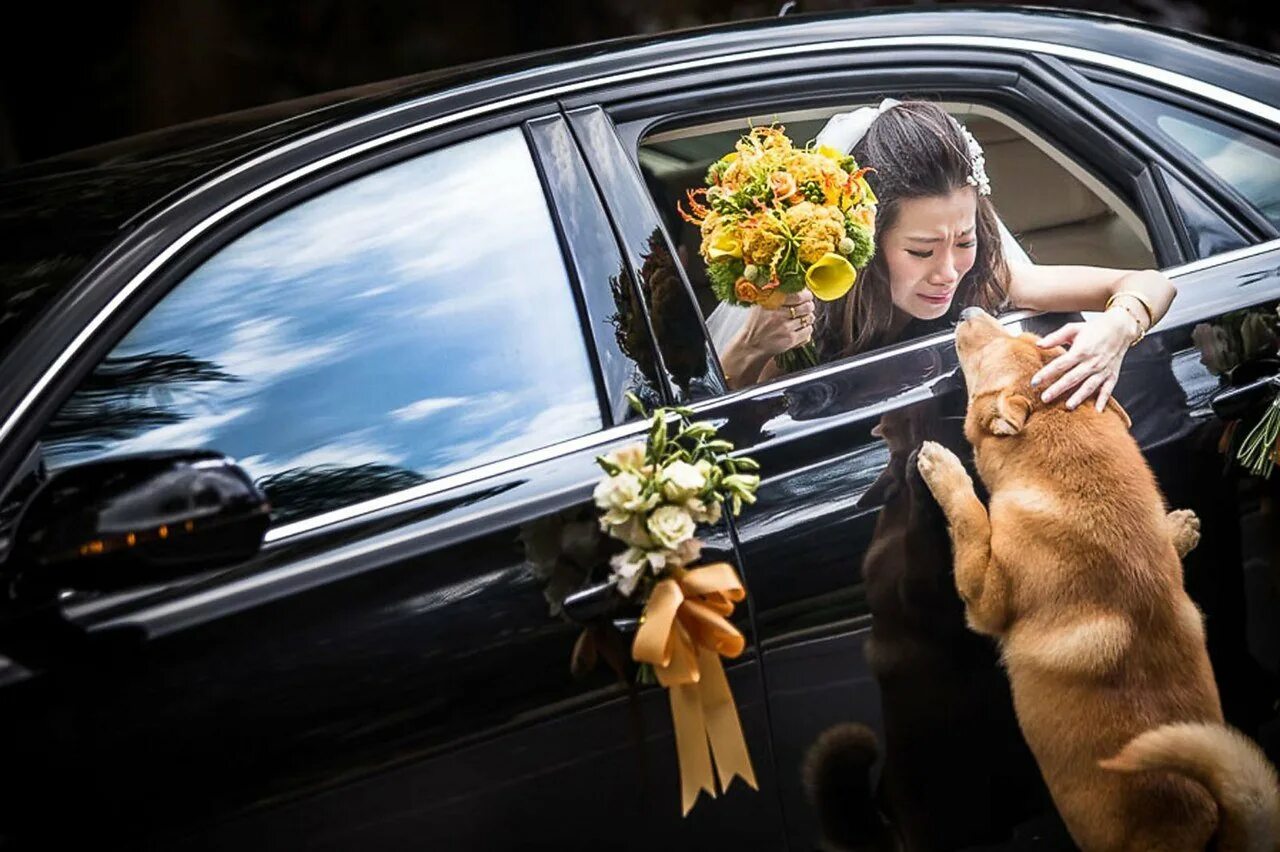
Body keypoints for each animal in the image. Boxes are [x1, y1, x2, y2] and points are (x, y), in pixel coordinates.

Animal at [916, 307, 1274, 849]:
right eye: (1028, 341)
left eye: (986, 351)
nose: (969, 311)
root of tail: (1206, 823)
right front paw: (1180, 529)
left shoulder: (985, 598)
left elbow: (970, 514)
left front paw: (942, 467)